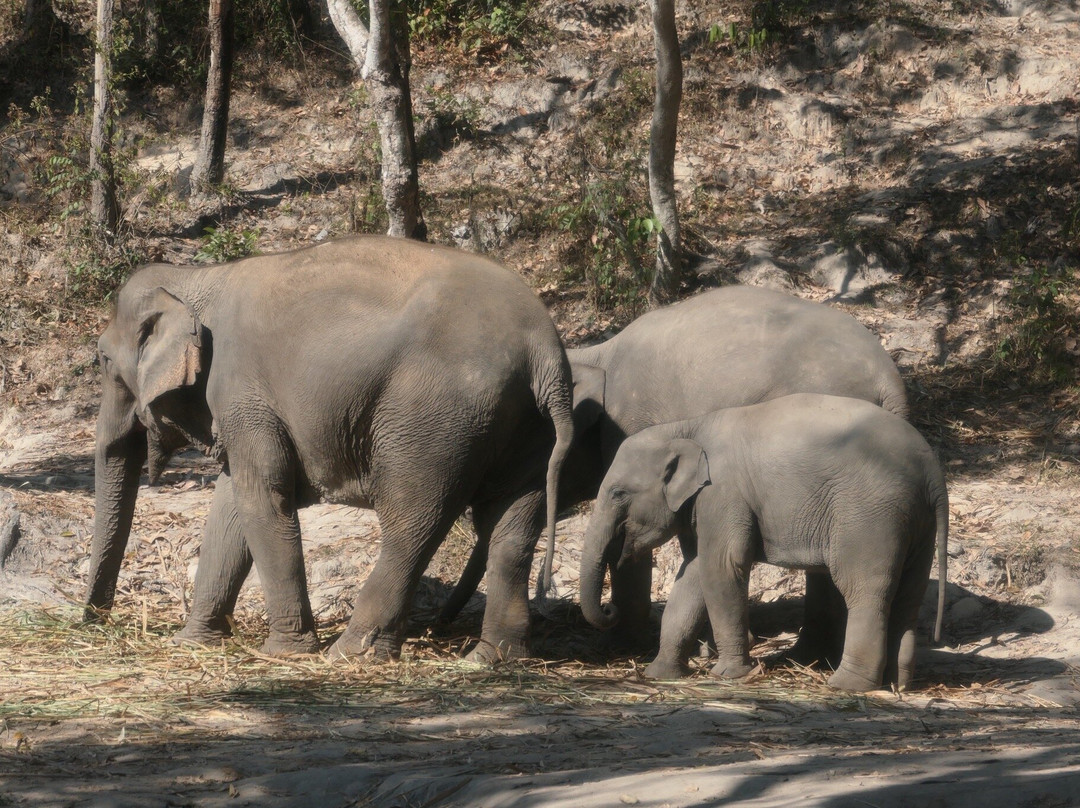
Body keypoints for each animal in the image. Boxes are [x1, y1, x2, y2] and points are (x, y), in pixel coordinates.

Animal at [85, 235, 574, 661]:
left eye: (103, 360)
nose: (92, 620)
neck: (195, 279)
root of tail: (544, 350)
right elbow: (231, 505)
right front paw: (192, 642)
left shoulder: (241, 391)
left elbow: (263, 497)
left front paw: (286, 652)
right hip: (526, 430)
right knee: (510, 530)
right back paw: (490, 658)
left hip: (434, 420)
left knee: (412, 523)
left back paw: (350, 653)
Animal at [441, 284, 908, 664]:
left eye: (523, 446)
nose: (443, 619)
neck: (596, 354)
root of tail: (890, 379)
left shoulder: (631, 427)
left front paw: (621, 646)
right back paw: (810, 655)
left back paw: (807, 656)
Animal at [579, 393, 948, 692]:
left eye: (618, 493)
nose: (609, 609)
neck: (686, 428)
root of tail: (933, 473)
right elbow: (692, 574)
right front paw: (661, 675)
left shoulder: (724, 493)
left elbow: (721, 568)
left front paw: (729, 675)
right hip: (917, 524)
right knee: (908, 596)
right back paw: (898, 684)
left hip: (870, 517)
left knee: (863, 589)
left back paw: (847, 685)